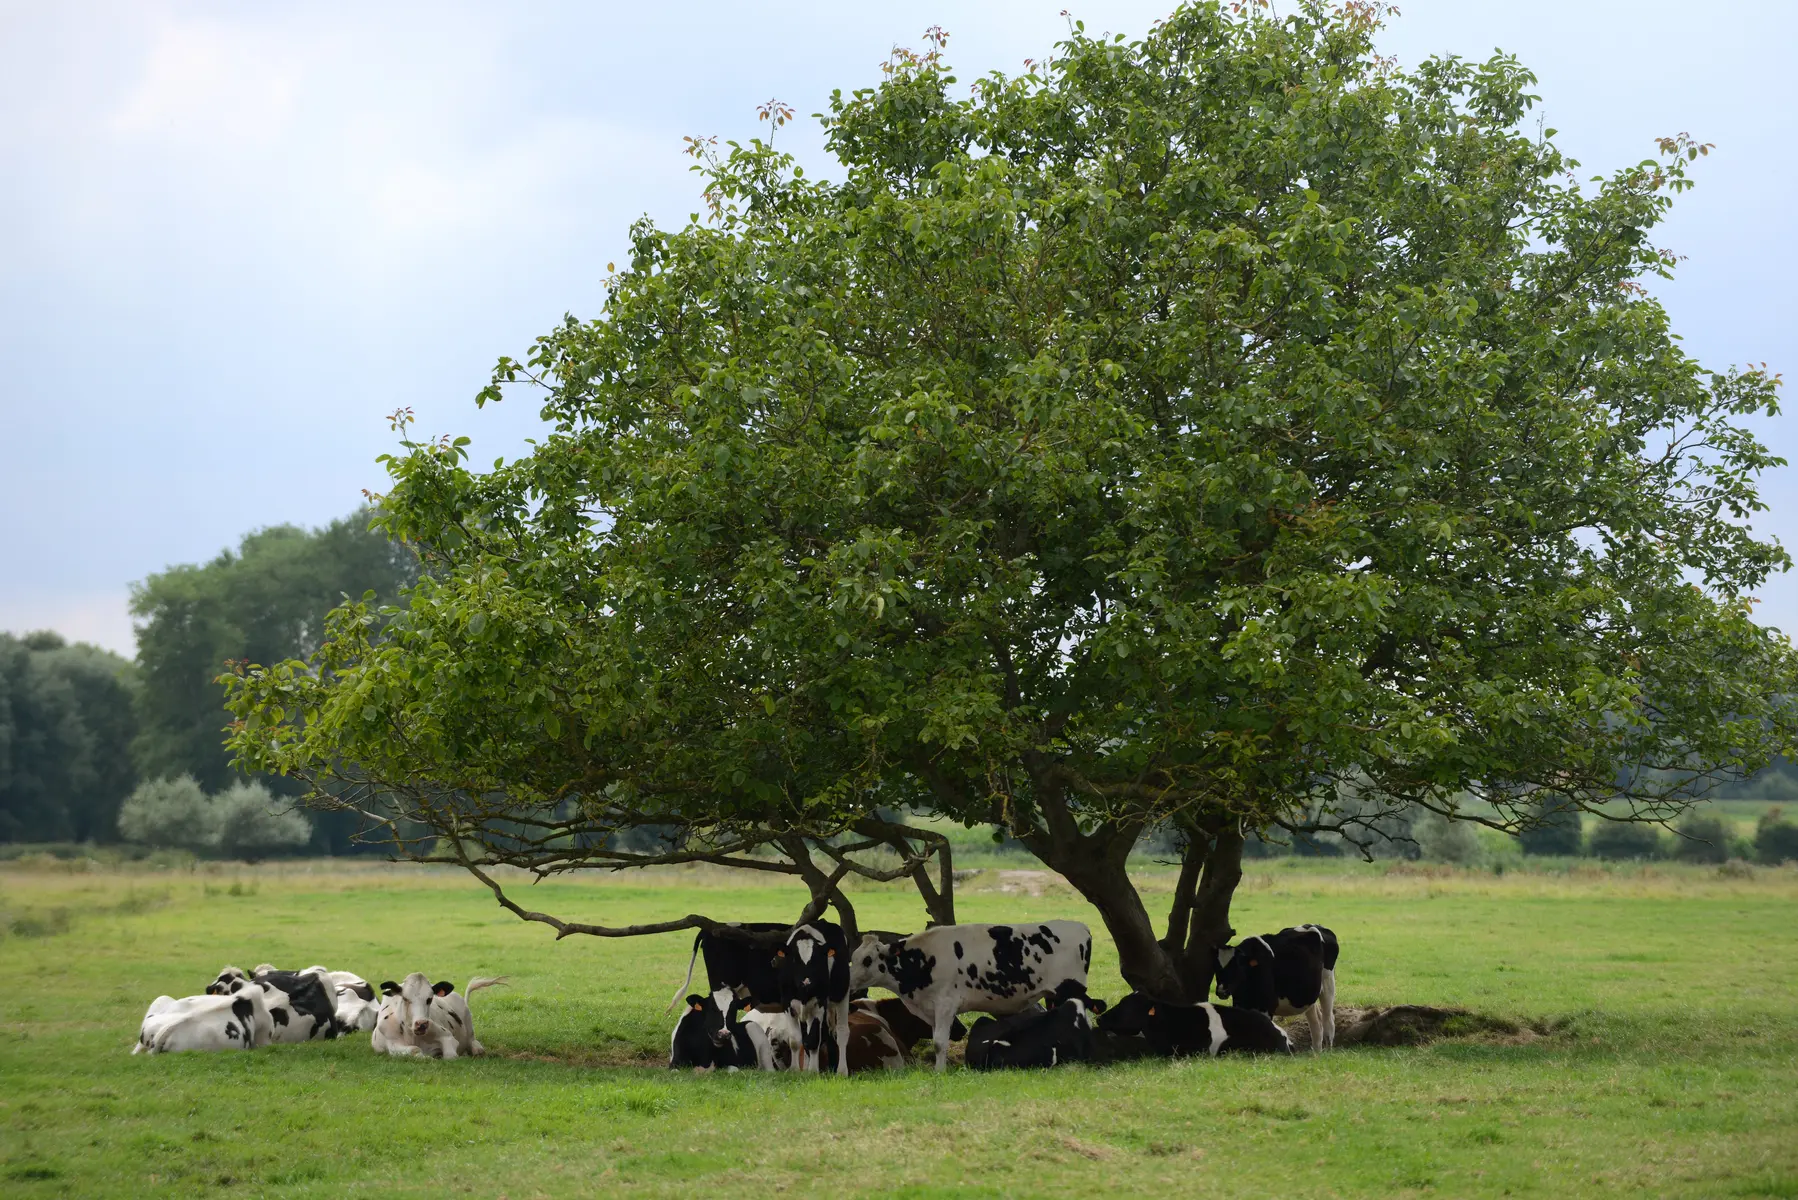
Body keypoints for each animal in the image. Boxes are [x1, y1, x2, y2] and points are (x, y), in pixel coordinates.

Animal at [371, 973, 506, 1059]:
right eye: (405, 998)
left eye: (430, 999)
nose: (421, 1024)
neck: (412, 1035)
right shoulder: (392, 1044)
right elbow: (415, 1050)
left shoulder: (447, 1036)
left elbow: (451, 1055)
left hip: (469, 1030)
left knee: (475, 1045)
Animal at [777, 922, 851, 1076]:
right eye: (794, 959)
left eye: (816, 960)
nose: (807, 982)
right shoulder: (787, 1004)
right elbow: (796, 1040)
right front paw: (795, 1070)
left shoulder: (819, 1005)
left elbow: (813, 1039)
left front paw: (813, 1071)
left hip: (842, 994)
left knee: (841, 1032)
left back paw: (841, 1070)